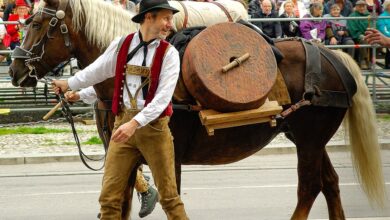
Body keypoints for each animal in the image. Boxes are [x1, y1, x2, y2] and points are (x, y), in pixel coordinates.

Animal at [7, 0, 386, 219]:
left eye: (37, 25)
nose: (15, 68)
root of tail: (330, 55)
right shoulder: (125, 157)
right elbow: (121, 203)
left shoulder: (168, 157)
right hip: (307, 139)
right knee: (330, 184)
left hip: (309, 140)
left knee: (309, 187)